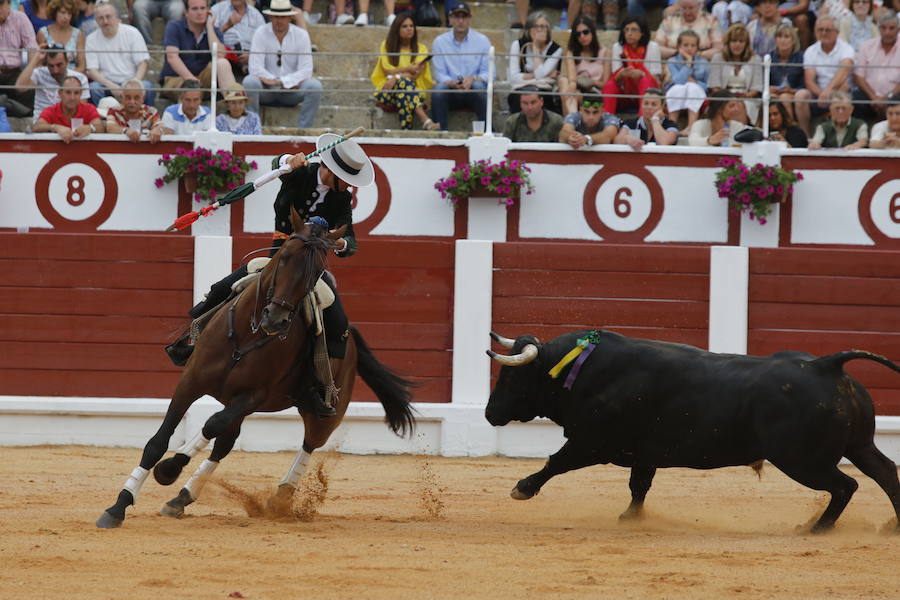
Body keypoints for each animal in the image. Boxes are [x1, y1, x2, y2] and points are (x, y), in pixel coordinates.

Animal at [96, 209, 414, 528]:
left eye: (316, 271)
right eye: (284, 256)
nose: (275, 319)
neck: (248, 335)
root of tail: (354, 341)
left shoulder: (253, 396)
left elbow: (211, 424)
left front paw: (169, 468)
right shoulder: (190, 382)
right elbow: (158, 441)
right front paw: (119, 505)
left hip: (323, 412)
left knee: (307, 443)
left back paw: (280, 497)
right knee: (224, 442)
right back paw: (181, 498)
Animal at [486, 330, 900, 532]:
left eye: (513, 375)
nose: (490, 413)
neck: (584, 369)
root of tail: (825, 365)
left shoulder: (591, 443)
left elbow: (556, 462)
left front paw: (521, 489)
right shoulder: (644, 453)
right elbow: (639, 486)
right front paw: (632, 518)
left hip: (802, 461)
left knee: (846, 486)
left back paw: (817, 528)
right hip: (859, 445)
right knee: (885, 472)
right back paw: (892, 525)